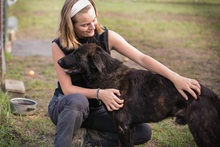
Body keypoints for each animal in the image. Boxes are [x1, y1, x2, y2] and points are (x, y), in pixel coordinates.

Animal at [57, 43, 220, 146]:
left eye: (76, 54)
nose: (58, 60)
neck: (107, 74)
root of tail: (213, 96)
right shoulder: (130, 127)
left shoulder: (122, 126)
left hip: (202, 133)